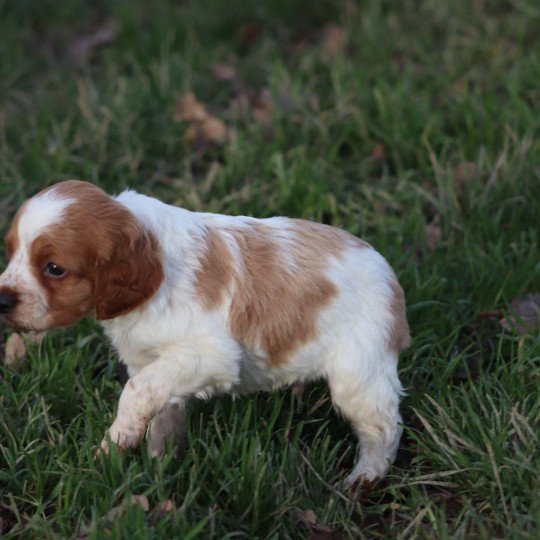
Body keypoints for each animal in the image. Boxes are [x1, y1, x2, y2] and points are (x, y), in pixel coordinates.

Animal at [0, 181, 410, 486]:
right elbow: (162, 406)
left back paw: (364, 480)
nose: (2, 299)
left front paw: (113, 445)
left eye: (54, 269)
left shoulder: (210, 355)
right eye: (11, 251)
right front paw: (160, 462)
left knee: (383, 429)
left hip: (359, 375)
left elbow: (136, 393)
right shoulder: (154, 362)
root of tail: (391, 278)